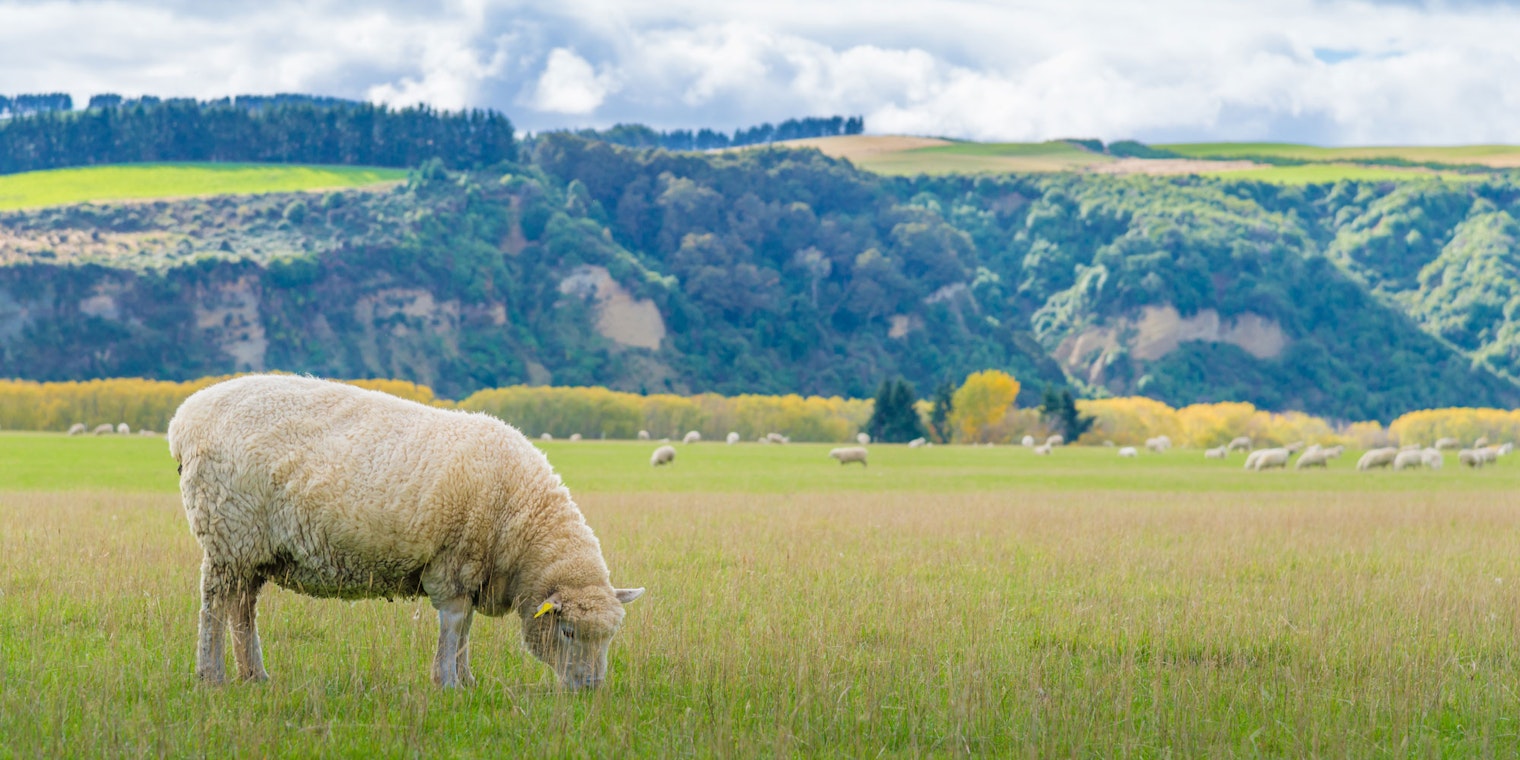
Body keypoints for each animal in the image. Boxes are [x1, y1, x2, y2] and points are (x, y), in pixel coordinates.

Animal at [166, 375, 642, 690]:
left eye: (609, 637)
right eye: (568, 632)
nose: (591, 689)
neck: (523, 519)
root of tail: (185, 418)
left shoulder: (473, 571)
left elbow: (466, 629)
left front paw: (467, 679)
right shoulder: (454, 562)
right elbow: (454, 625)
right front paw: (447, 682)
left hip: (253, 548)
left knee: (242, 608)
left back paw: (255, 675)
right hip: (228, 531)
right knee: (214, 607)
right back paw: (212, 676)